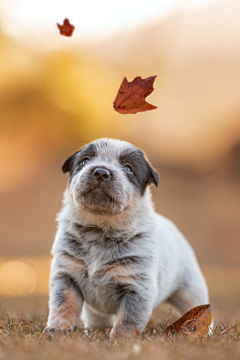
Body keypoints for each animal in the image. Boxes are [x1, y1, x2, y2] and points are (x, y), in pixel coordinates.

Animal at [46, 139, 208, 340]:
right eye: (85, 160)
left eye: (128, 168)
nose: (100, 172)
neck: (100, 232)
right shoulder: (66, 275)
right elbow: (64, 306)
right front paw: (58, 329)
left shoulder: (136, 288)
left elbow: (127, 320)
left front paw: (120, 340)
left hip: (190, 289)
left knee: (197, 305)